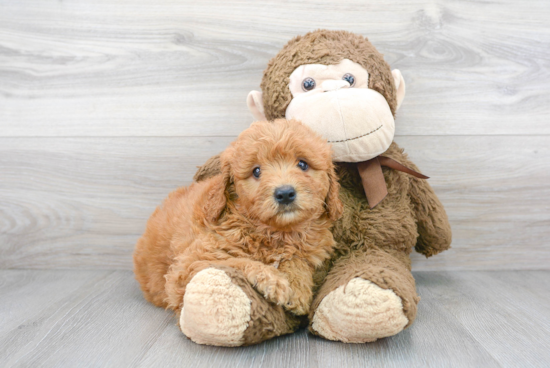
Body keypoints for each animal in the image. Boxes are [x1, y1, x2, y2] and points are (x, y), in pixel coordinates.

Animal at [134, 118, 342, 320]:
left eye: (302, 164)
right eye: (256, 171)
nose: (284, 193)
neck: (276, 233)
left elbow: (296, 258)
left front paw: (298, 288)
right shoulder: (187, 266)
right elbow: (232, 262)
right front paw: (272, 279)